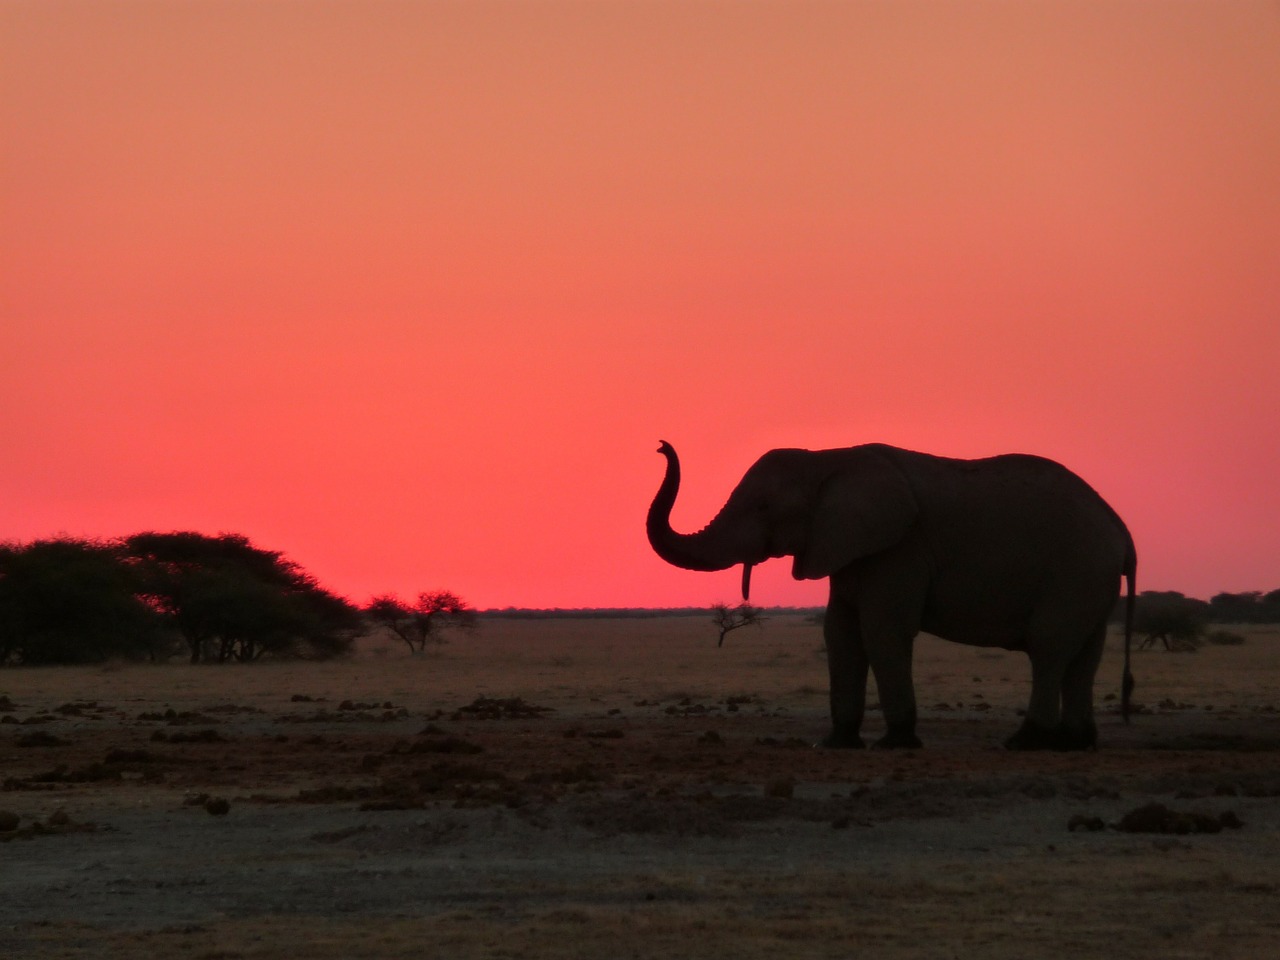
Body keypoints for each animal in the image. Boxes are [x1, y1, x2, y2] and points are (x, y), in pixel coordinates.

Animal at [645, 442, 1136, 752]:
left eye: (764, 508)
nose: (660, 447)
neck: (829, 459)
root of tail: (1121, 531)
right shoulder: (846, 547)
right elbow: (840, 634)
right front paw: (834, 744)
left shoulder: (901, 548)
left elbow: (882, 633)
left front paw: (893, 744)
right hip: (1092, 580)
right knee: (1083, 657)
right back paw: (1075, 745)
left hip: (1075, 571)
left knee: (1049, 650)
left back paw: (1023, 744)